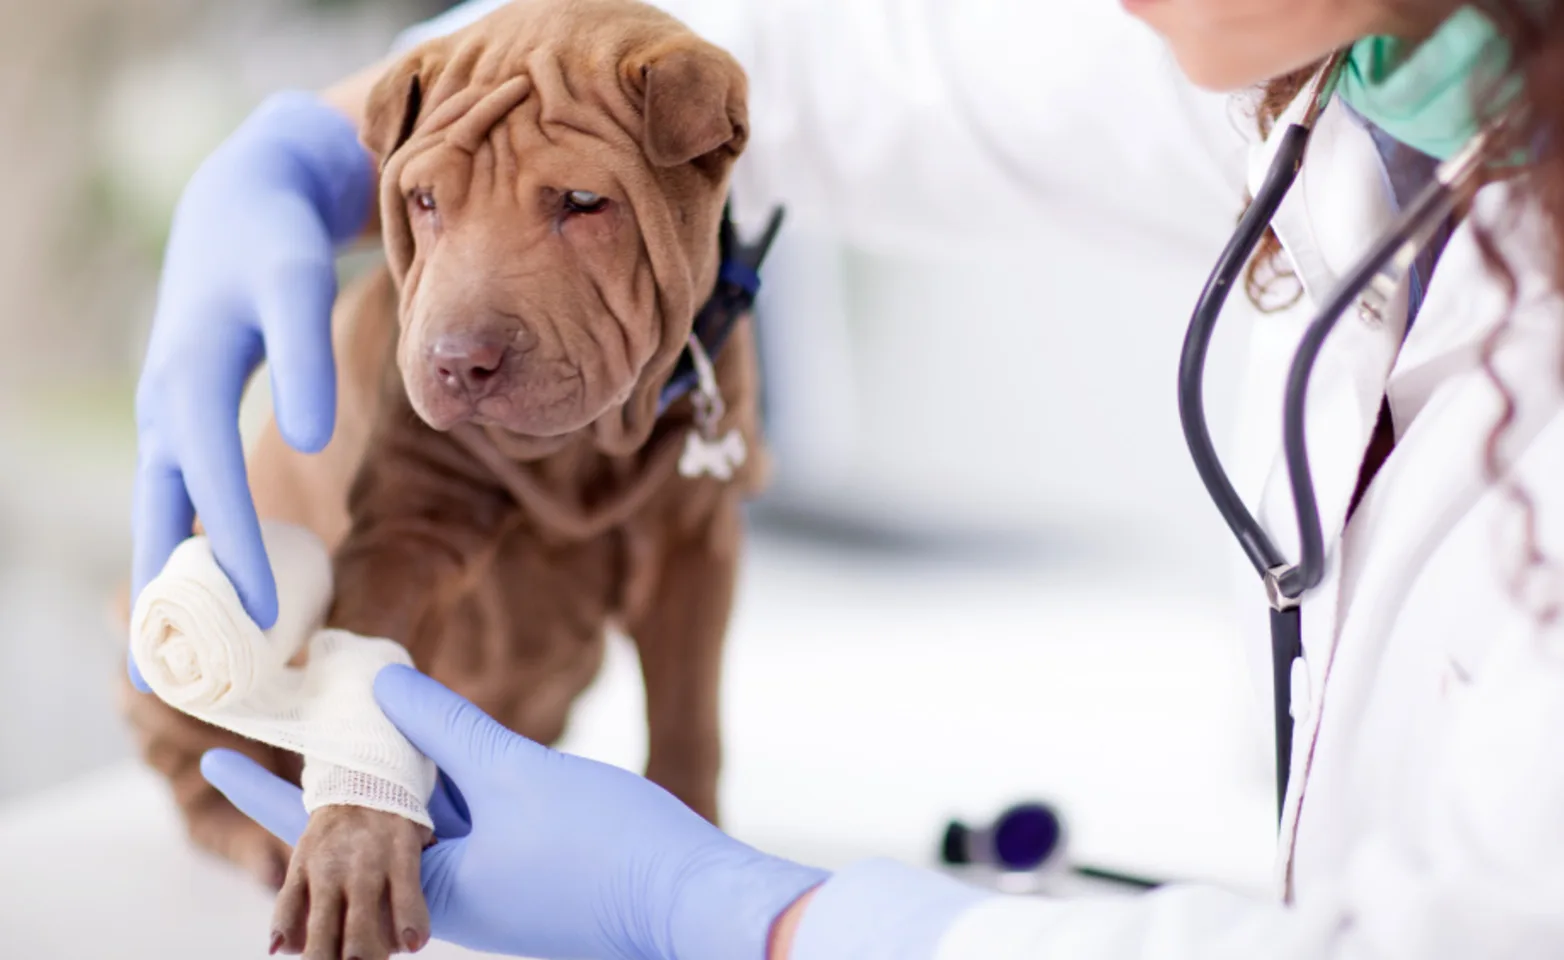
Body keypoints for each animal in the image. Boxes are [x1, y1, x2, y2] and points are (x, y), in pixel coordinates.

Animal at [114, 3, 763, 956]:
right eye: (424, 202)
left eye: (583, 203)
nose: (459, 361)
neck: (581, 454)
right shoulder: (405, 531)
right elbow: (372, 679)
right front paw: (351, 852)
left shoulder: (695, 543)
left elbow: (689, 714)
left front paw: (695, 851)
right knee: (194, 767)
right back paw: (253, 835)